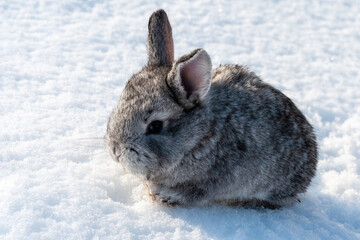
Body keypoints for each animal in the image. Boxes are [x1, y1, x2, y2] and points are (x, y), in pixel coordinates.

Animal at [105, 8, 318, 208]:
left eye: (155, 126)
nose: (116, 151)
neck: (198, 136)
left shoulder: (212, 180)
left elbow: (194, 193)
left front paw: (164, 195)